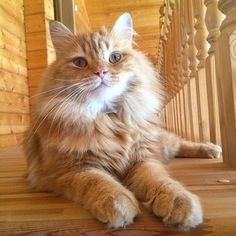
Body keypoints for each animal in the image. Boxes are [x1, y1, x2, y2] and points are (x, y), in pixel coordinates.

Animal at [24, 12, 222, 230]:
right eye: (80, 62)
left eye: (115, 57)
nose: (101, 72)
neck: (109, 119)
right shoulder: (71, 169)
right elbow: (99, 182)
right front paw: (117, 203)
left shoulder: (143, 159)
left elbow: (159, 180)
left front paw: (178, 201)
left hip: (162, 142)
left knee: (182, 144)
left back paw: (211, 149)